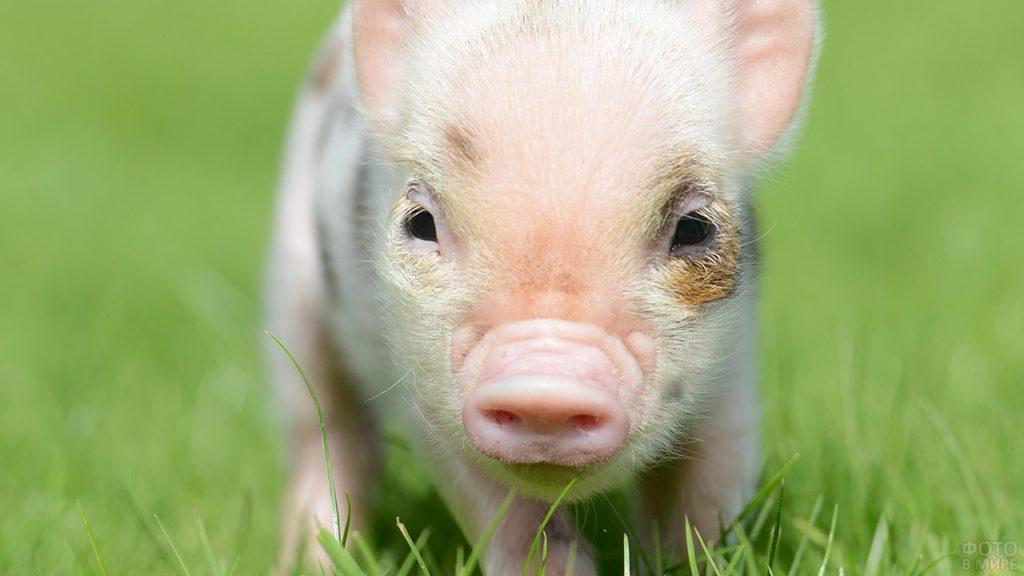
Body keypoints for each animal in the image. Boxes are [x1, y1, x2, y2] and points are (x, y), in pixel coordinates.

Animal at [266, 0, 819, 573]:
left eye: (694, 228)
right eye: (421, 222)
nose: (545, 385)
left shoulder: (734, 369)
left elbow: (704, 498)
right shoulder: (418, 386)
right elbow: (504, 515)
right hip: (293, 290)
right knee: (326, 433)